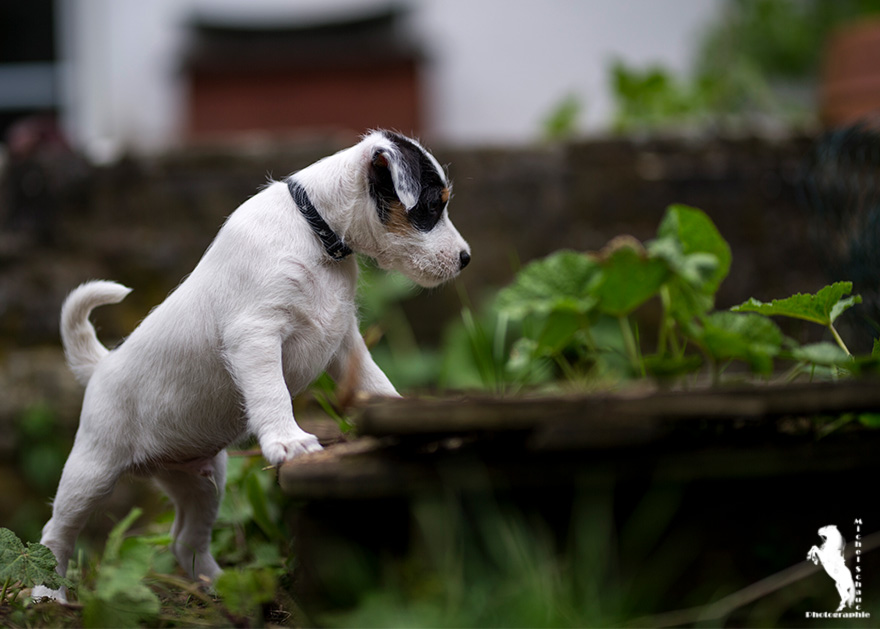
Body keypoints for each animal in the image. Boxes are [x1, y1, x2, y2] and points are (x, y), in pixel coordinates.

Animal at [34, 129, 470, 600]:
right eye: (432, 206)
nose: (466, 258)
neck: (314, 231)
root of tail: (101, 366)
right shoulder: (255, 336)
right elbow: (272, 393)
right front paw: (288, 441)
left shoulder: (344, 342)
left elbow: (375, 381)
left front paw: (397, 412)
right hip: (91, 472)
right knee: (54, 534)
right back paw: (48, 595)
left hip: (202, 480)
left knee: (184, 540)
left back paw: (223, 587)